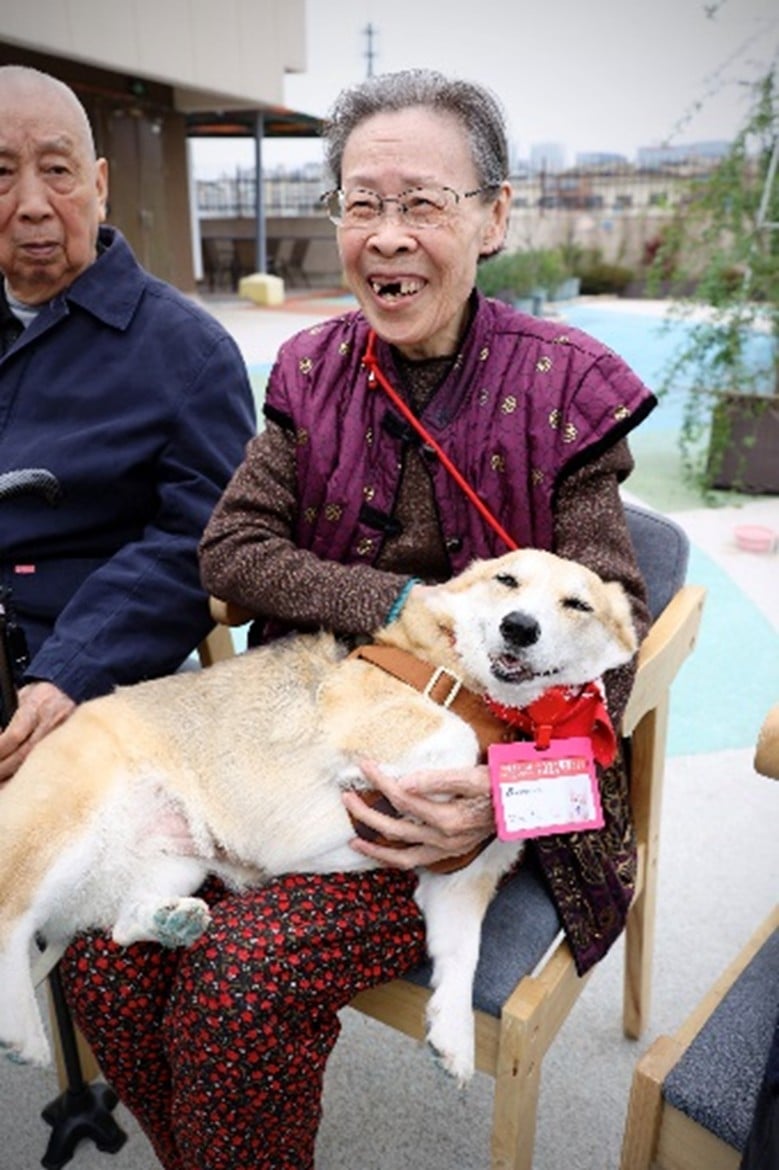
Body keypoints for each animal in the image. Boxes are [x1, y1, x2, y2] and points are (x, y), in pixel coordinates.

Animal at [0, 552, 636, 1081]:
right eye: (507, 581)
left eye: (577, 604)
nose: (519, 628)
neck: (489, 698)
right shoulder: (372, 726)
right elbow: (454, 737)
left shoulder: (457, 883)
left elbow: (463, 957)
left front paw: (453, 1037)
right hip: (68, 831)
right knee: (11, 916)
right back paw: (23, 1035)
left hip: (175, 862)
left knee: (118, 923)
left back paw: (168, 922)